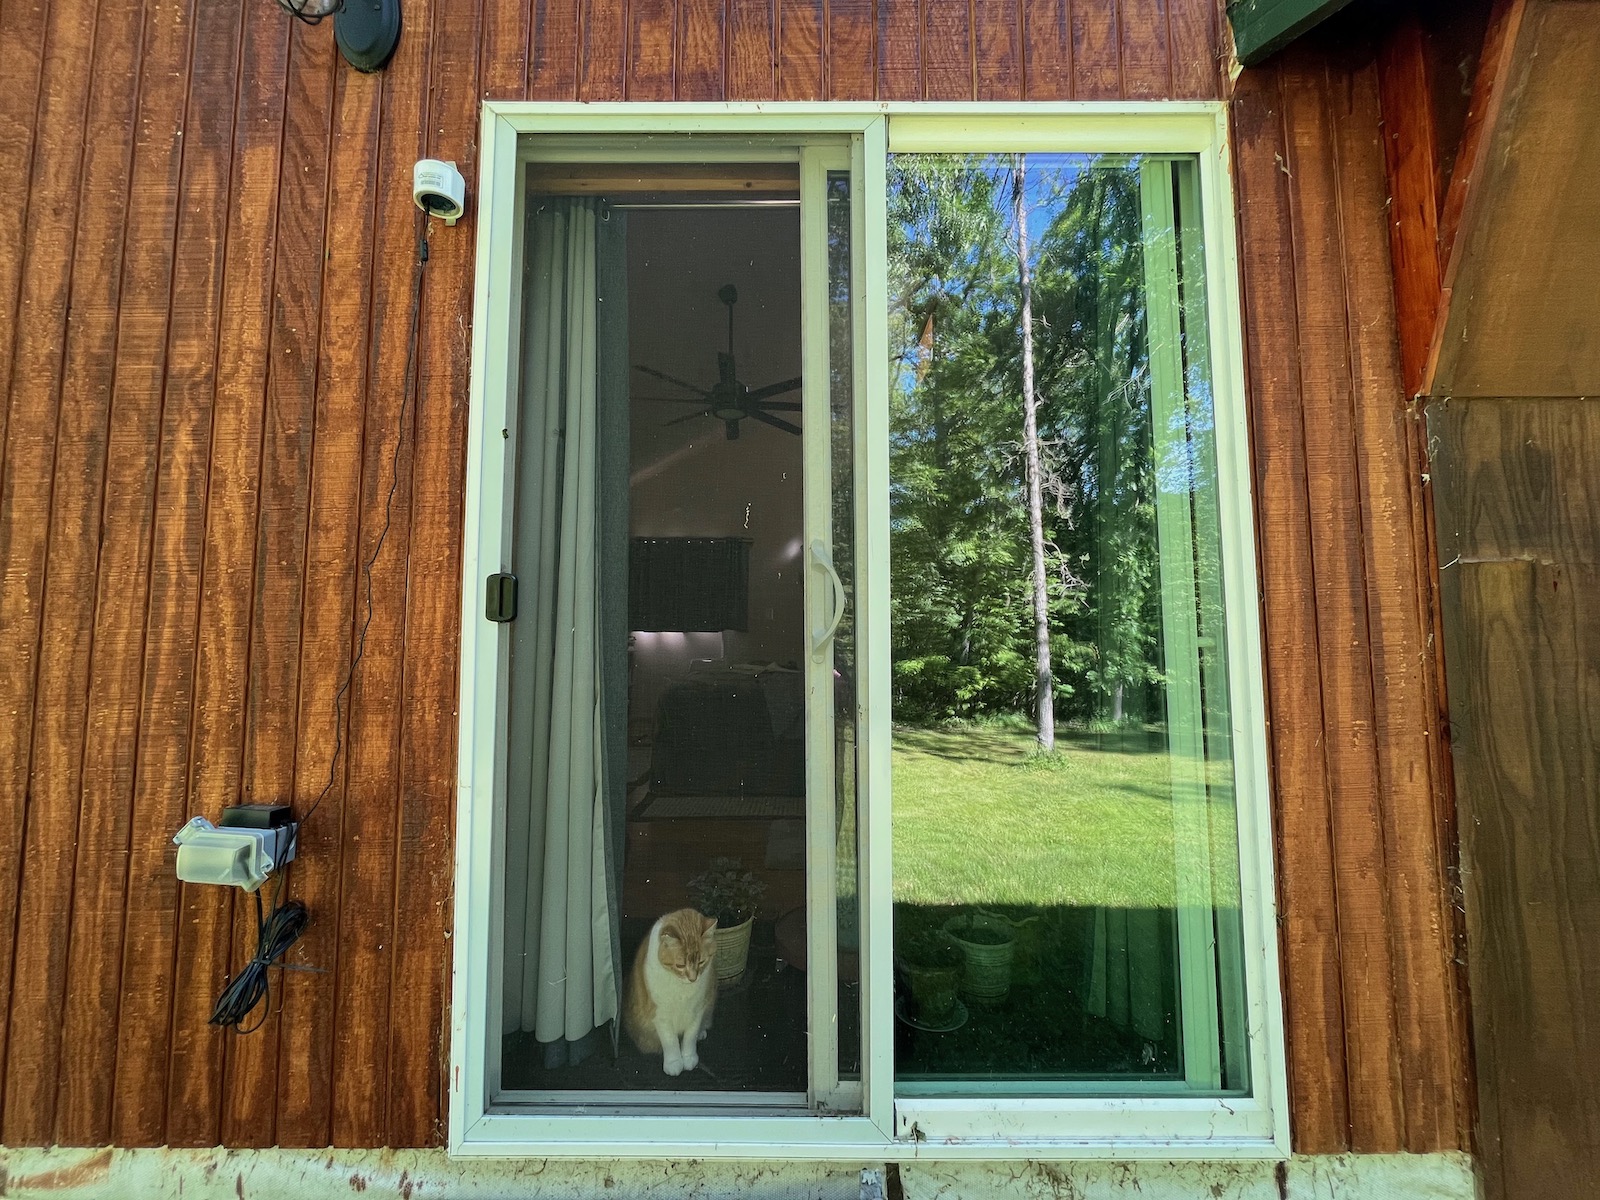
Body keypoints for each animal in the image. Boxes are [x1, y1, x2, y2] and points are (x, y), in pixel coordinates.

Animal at [620, 908, 716, 1081]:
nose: (693, 978)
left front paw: (689, 1057)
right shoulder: (661, 1015)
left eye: (701, 962)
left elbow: (690, 1037)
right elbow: (670, 1042)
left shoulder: (697, 1010)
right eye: (680, 965)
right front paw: (674, 1063)